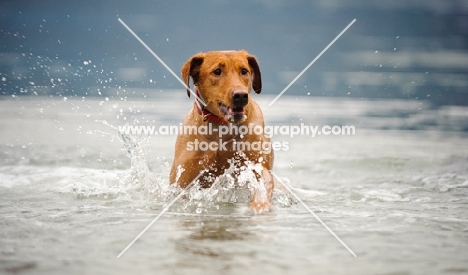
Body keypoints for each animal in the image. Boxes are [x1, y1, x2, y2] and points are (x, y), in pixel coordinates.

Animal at [170, 50, 274, 213]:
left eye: (244, 71)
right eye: (217, 71)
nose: (241, 95)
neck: (222, 128)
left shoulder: (258, 165)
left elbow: (262, 183)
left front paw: (259, 205)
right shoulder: (183, 178)